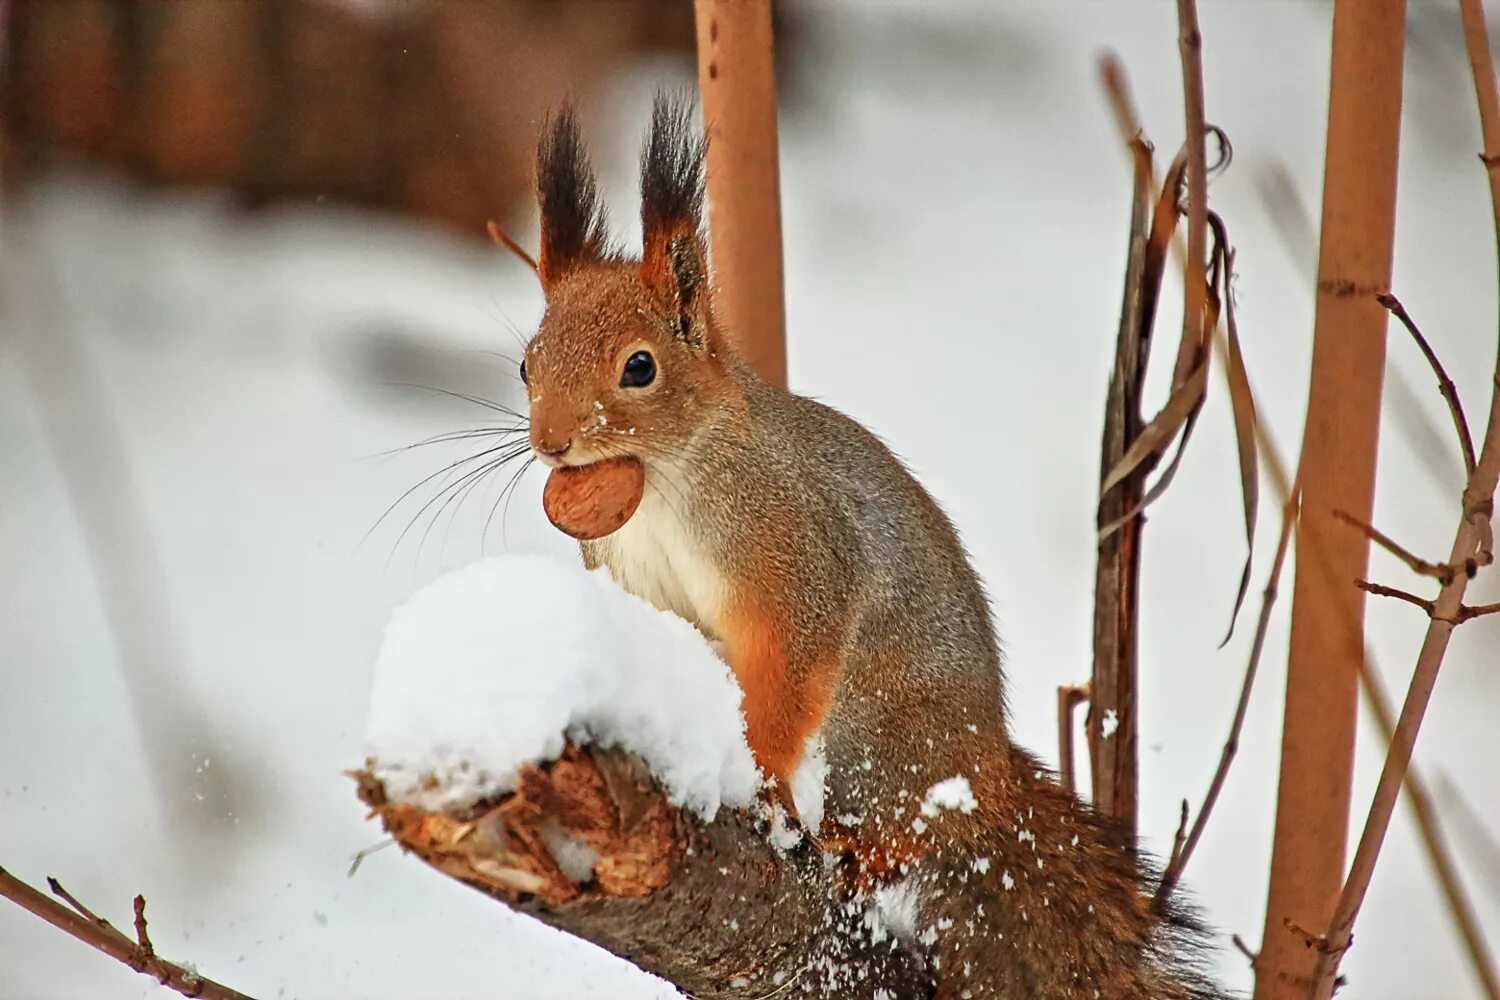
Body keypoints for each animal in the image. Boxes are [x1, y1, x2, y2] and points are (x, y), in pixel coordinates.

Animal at [516, 95, 1218, 1000]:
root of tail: (983, 773)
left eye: (640, 367)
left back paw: (858, 844)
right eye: (526, 364)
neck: (665, 484)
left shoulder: (794, 553)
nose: (551, 444)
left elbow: (790, 666)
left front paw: (761, 780)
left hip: (878, 740)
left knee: (905, 832)